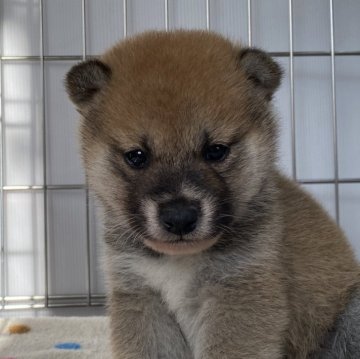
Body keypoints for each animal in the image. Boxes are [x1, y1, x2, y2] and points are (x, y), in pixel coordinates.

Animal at [66, 30, 360, 359]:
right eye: (137, 156)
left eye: (216, 151)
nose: (180, 217)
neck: (180, 261)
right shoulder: (142, 296)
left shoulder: (238, 292)